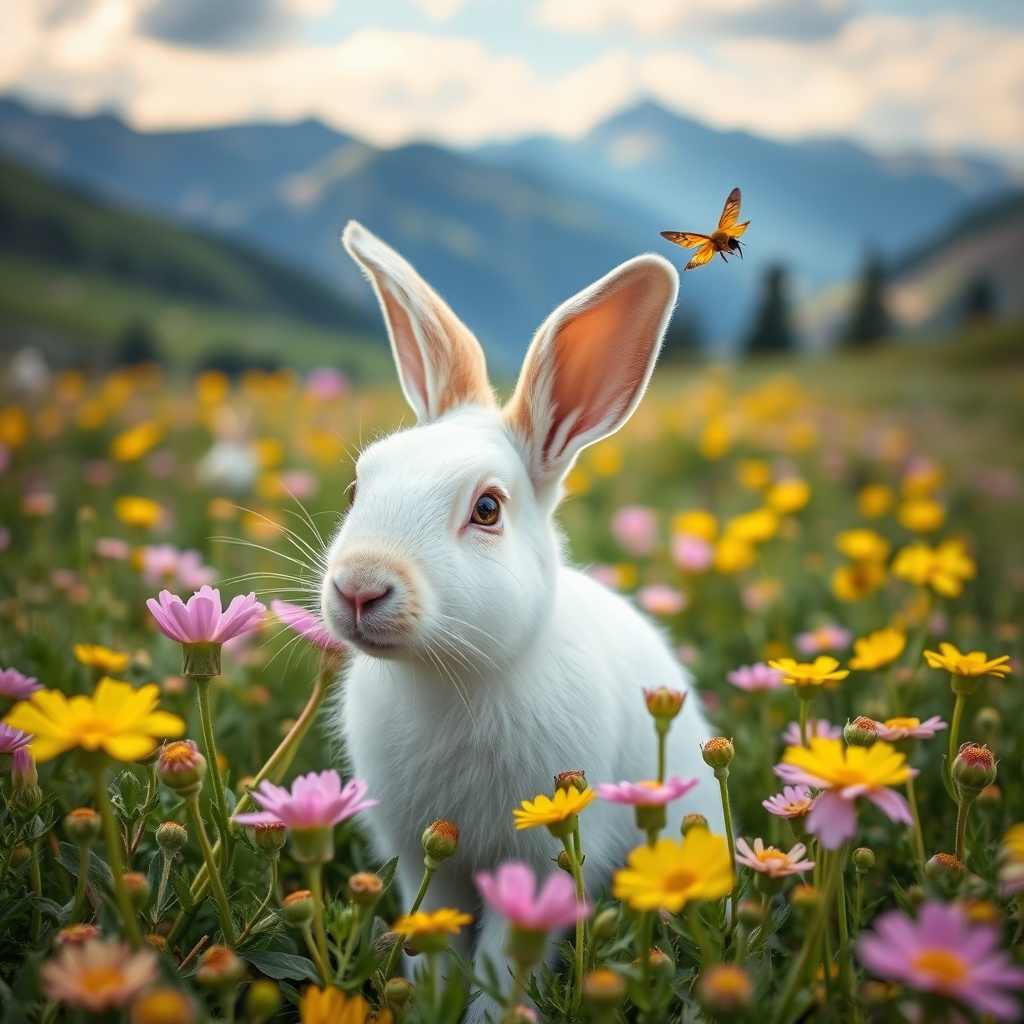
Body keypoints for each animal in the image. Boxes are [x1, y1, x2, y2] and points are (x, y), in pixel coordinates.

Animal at [320, 221, 724, 1020]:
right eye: (357, 487)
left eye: (486, 509)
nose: (359, 588)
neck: (452, 676)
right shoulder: (426, 859)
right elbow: (433, 937)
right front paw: (430, 1001)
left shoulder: (536, 865)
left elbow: (505, 961)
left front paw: (485, 1012)